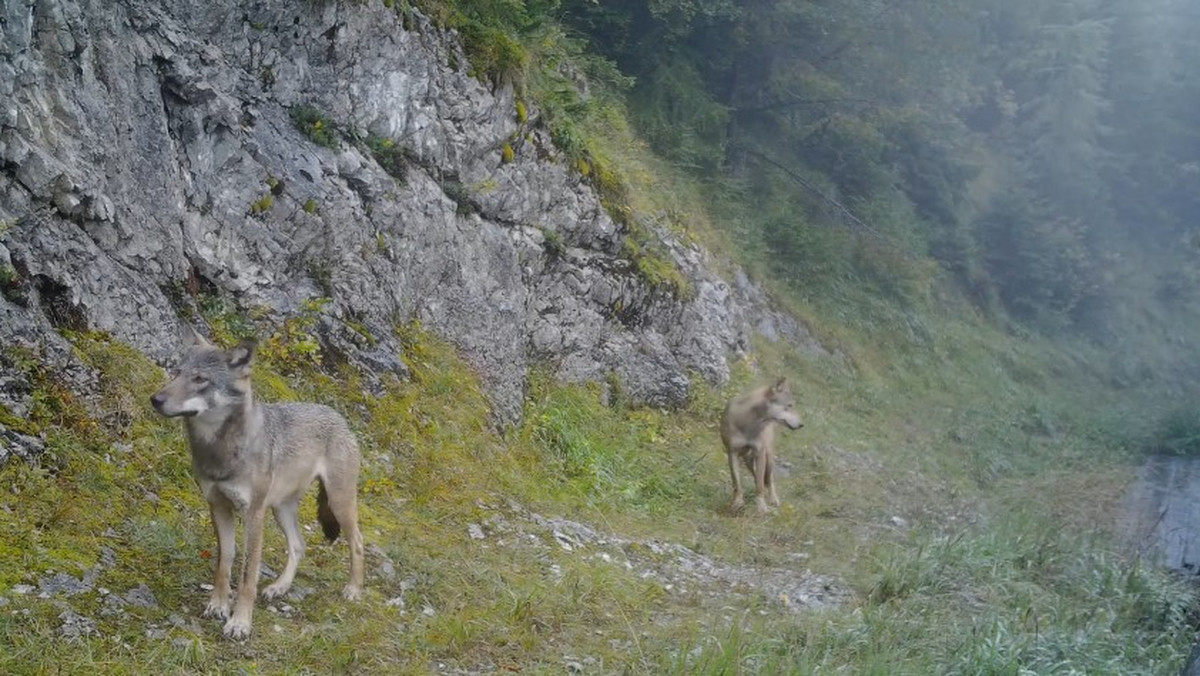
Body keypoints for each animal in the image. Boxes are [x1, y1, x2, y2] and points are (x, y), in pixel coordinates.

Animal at [151, 331, 364, 643]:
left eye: (200, 379)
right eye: (176, 373)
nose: (155, 399)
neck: (221, 450)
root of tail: (339, 417)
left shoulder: (253, 515)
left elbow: (247, 575)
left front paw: (240, 623)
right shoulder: (218, 507)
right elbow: (225, 562)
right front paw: (218, 605)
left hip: (337, 504)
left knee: (357, 541)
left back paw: (354, 590)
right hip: (280, 509)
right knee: (299, 546)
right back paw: (279, 587)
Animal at [720, 379, 806, 516]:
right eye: (789, 405)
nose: (802, 424)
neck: (748, 423)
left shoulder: (759, 453)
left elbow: (760, 485)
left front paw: (762, 508)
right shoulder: (732, 453)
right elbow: (736, 483)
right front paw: (737, 504)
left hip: (768, 458)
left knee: (769, 480)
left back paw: (773, 499)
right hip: (747, 459)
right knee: (757, 476)